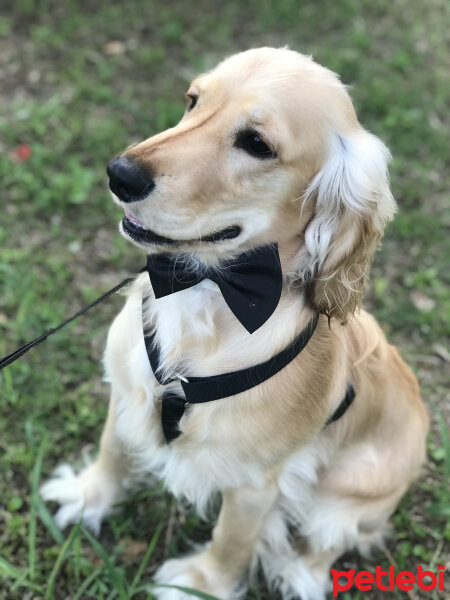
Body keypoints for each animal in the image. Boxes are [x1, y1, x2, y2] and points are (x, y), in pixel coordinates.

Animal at [41, 48, 428, 600]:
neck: (209, 290)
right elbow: (112, 451)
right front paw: (88, 494)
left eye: (257, 144)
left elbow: (232, 540)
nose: (119, 174)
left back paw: (298, 572)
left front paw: (200, 583)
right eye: (192, 100)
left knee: (331, 537)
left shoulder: (253, 480)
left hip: (350, 498)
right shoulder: (127, 388)